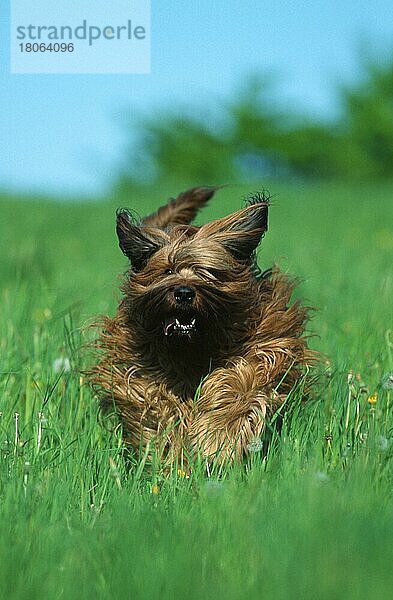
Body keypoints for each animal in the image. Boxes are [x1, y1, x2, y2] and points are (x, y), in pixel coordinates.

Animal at [88, 188, 312, 464]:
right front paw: (172, 455)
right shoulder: (145, 370)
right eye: (168, 271)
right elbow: (160, 406)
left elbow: (238, 385)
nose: (184, 293)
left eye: (209, 273)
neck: (194, 346)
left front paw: (216, 441)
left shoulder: (263, 346)